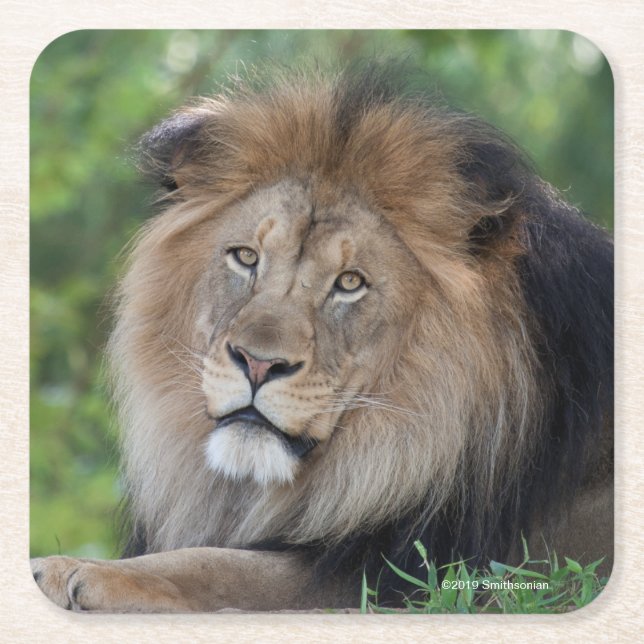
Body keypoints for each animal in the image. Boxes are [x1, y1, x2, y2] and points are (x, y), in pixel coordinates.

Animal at [32, 62, 613, 612]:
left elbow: (216, 566)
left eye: (350, 283)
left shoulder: (406, 576)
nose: (258, 364)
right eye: (246, 257)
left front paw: (71, 569)